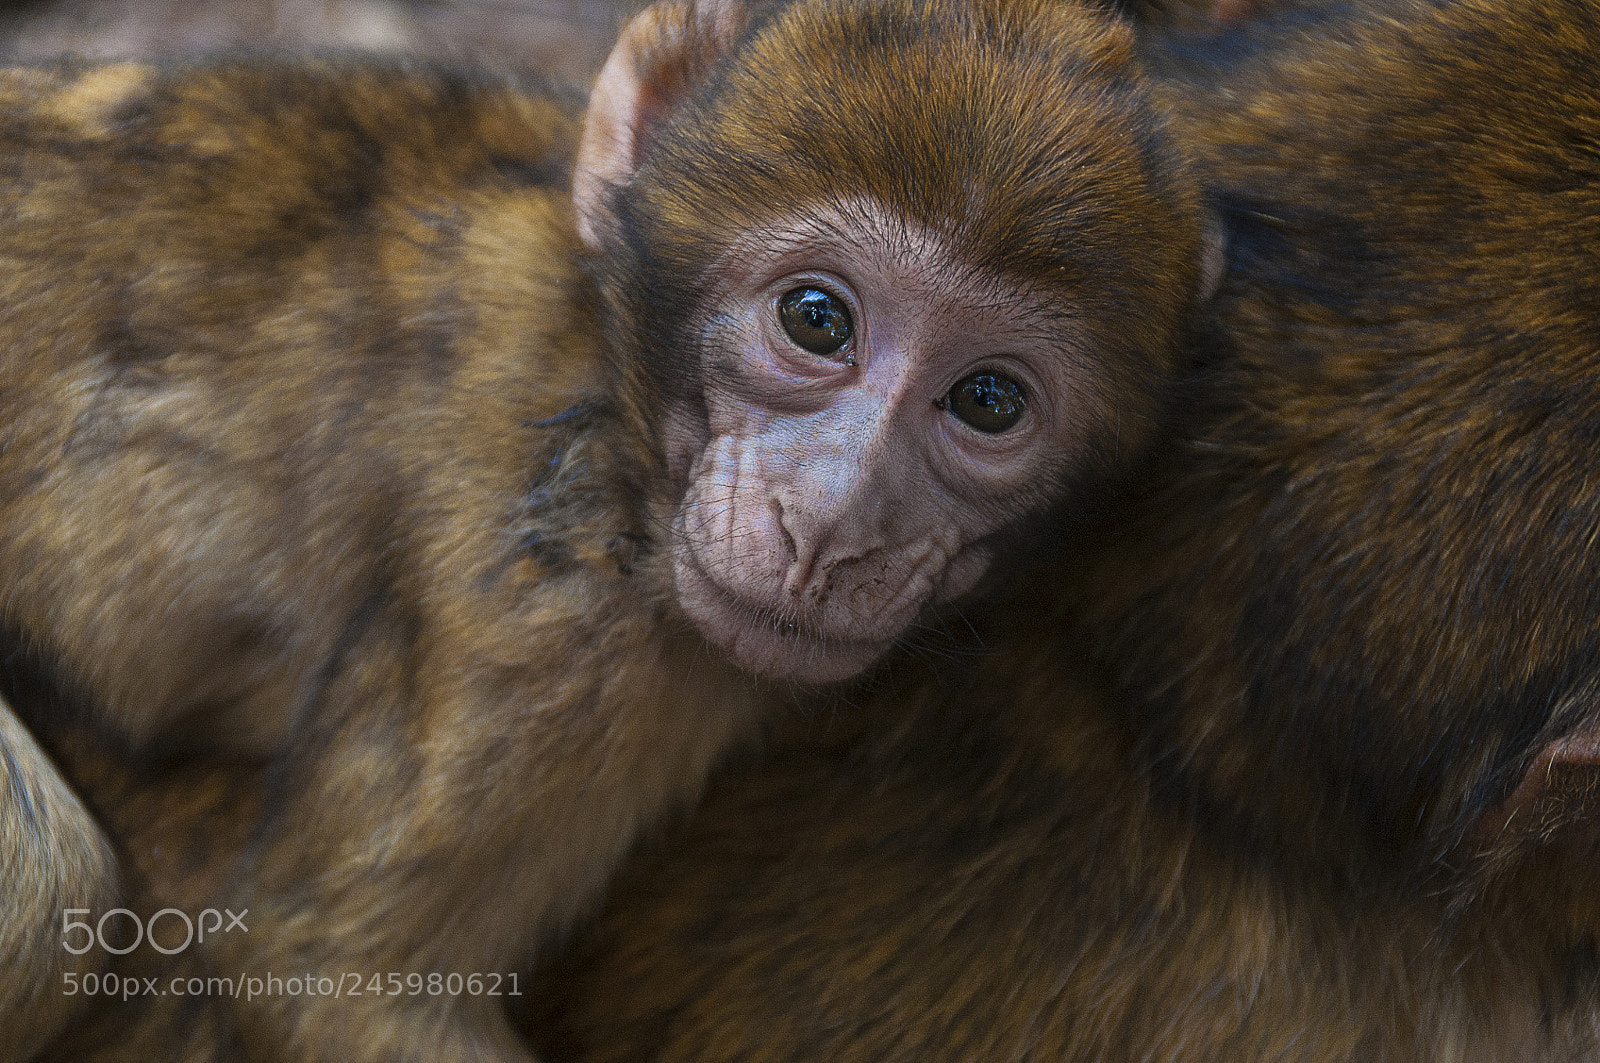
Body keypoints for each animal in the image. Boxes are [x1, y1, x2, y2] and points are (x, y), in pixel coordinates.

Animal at [0, 0, 1221, 1056]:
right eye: (816, 319)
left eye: (988, 401)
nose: (829, 524)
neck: (613, 377)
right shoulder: (560, 601)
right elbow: (329, 973)